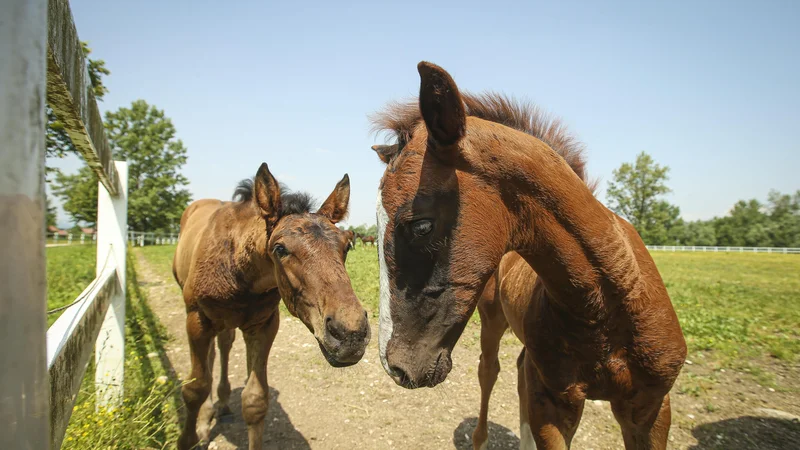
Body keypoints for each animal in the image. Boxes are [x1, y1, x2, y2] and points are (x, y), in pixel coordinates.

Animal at [173, 164, 370, 450]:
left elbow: (255, 400)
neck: (238, 268)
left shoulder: (264, 325)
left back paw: (222, 404)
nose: (350, 334)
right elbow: (194, 388)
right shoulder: (197, 318)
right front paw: (191, 436)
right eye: (280, 248)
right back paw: (207, 417)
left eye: (348, 245)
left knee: (224, 344)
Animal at [372, 61, 684, 448]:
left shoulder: (651, 409)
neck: (606, 311)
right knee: (490, 371)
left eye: (421, 226)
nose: (395, 367)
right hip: (492, 322)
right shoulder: (553, 404)